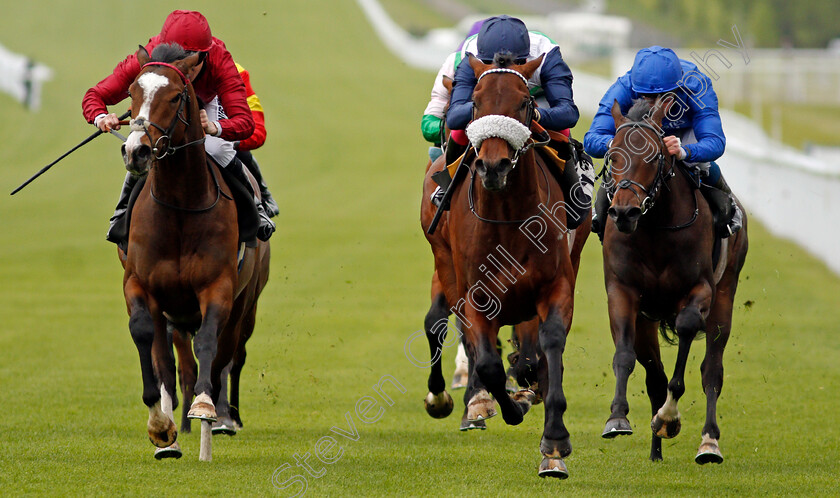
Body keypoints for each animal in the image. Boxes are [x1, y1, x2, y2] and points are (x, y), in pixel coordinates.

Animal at [118, 42, 268, 456]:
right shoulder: (141, 285)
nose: (136, 151)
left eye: (174, 96)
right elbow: (146, 340)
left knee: (229, 356)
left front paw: (205, 409)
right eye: (132, 92)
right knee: (179, 364)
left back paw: (222, 419)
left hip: (246, 303)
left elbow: (210, 347)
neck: (180, 207)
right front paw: (160, 426)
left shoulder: (218, 287)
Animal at [420, 53, 584, 478]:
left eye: (525, 103)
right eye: (475, 103)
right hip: (445, 262)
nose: (493, 166)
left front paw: (554, 442)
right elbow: (489, 362)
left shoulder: (554, 286)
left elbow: (549, 343)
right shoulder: (474, 294)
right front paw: (502, 404)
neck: (509, 216)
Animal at [600, 96, 752, 462]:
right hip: (647, 320)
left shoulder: (700, 290)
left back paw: (709, 442)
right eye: (613, 156)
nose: (624, 212)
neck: (655, 228)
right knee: (653, 375)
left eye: (654, 156)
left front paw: (669, 417)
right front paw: (617, 417)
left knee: (712, 371)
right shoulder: (622, 292)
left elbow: (685, 331)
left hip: (725, 296)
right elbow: (625, 355)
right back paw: (655, 451)